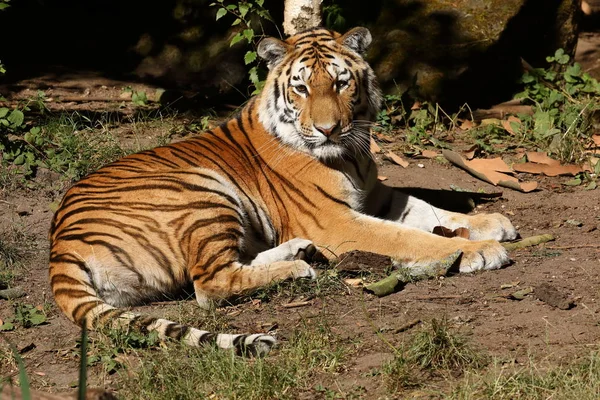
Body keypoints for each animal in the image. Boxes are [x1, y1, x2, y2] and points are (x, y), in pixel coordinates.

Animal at [49, 26, 516, 358]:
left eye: (341, 83)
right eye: (302, 88)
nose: (328, 129)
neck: (350, 154)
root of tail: (60, 245)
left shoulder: (377, 196)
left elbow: (431, 210)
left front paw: (493, 223)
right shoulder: (336, 222)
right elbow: (406, 236)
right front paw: (479, 251)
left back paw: (298, 252)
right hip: (203, 191)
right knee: (209, 285)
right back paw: (298, 268)